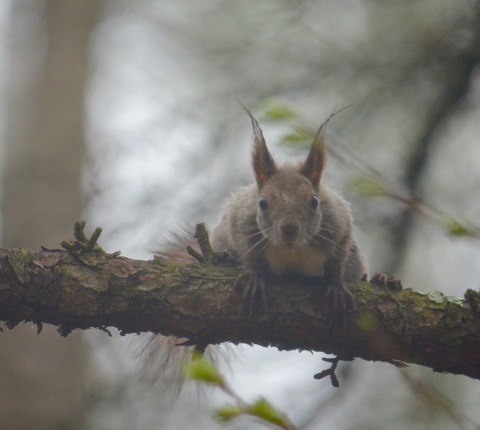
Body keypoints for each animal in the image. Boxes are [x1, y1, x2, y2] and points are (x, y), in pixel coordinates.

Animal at [212, 111, 366, 316]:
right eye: (262, 203)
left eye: (314, 202)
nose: (289, 229)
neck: (291, 250)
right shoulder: (241, 222)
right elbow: (249, 252)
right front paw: (255, 278)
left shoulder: (338, 223)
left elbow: (338, 258)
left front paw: (336, 286)